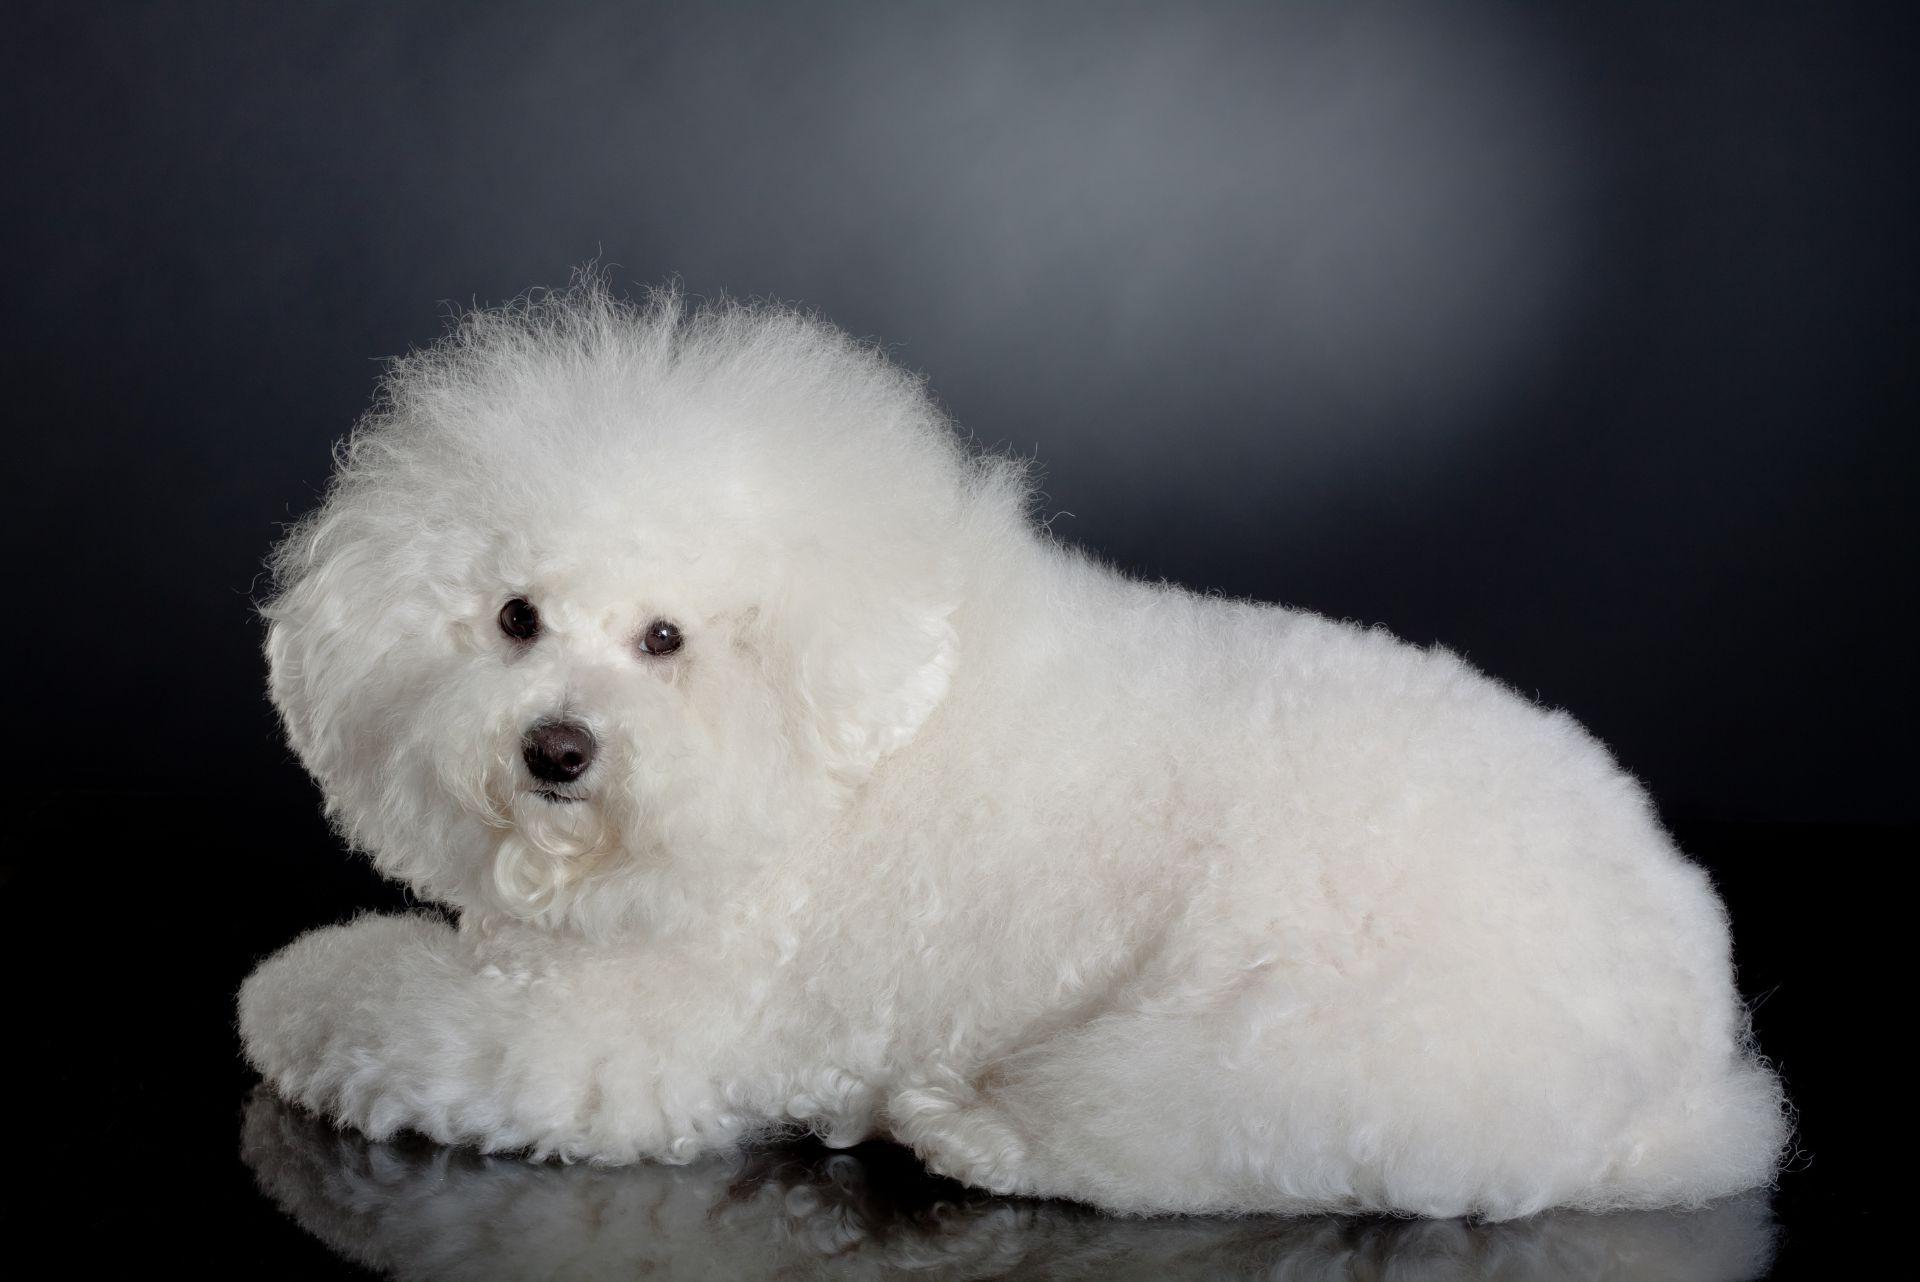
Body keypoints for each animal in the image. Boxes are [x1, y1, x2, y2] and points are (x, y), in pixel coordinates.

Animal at [236, 276, 1781, 1220]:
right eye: (514, 617)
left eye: (665, 638)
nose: (555, 750)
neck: (831, 753)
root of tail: (1697, 1061)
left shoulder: (622, 1031)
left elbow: (382, 1006)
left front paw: (283, 998)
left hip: (1303, 1025)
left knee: (1198, 1144)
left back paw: (962, 1128)